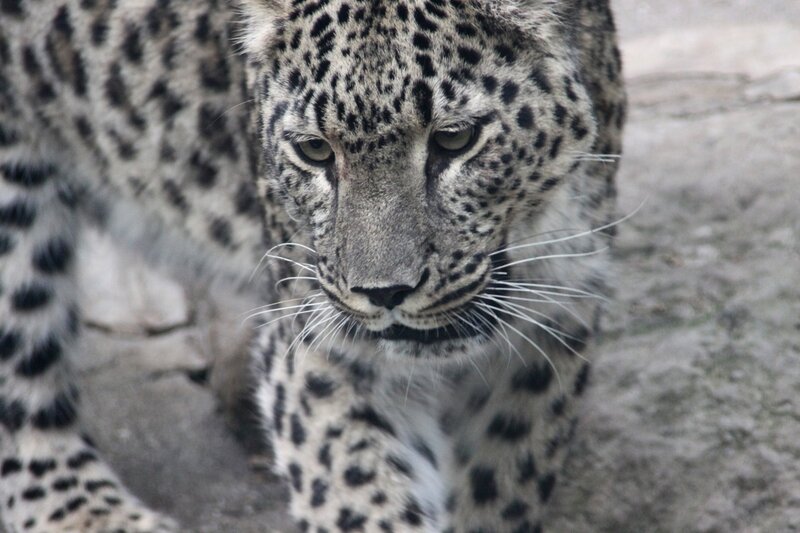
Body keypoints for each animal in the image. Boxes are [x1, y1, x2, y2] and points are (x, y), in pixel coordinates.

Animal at [0, 0, 626, 531]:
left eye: (454, 139)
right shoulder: (320, 343)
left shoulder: (554, 323)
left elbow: (502, 483)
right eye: (315, 151)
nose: (385, 293)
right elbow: (357, 493)